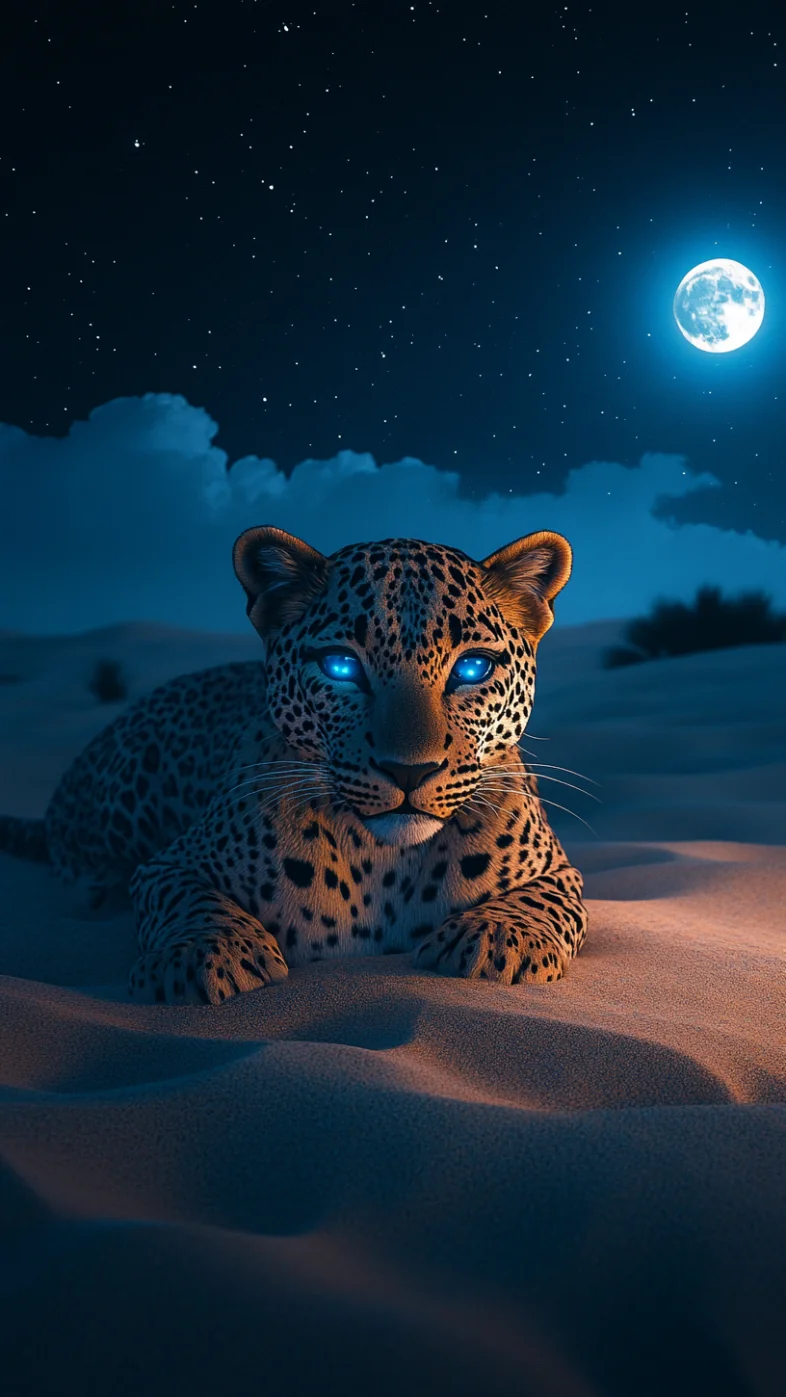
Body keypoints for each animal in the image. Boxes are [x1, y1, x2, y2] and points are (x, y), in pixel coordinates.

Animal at [0, 525, 588, 1005]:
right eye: (341, 666)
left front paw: (496, 939)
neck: (387, 865)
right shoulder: (169, 864)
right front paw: (205, 955)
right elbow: (192, 901)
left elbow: (543, 901)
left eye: (472, 668)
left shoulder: (559, 870)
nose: (408, 772)